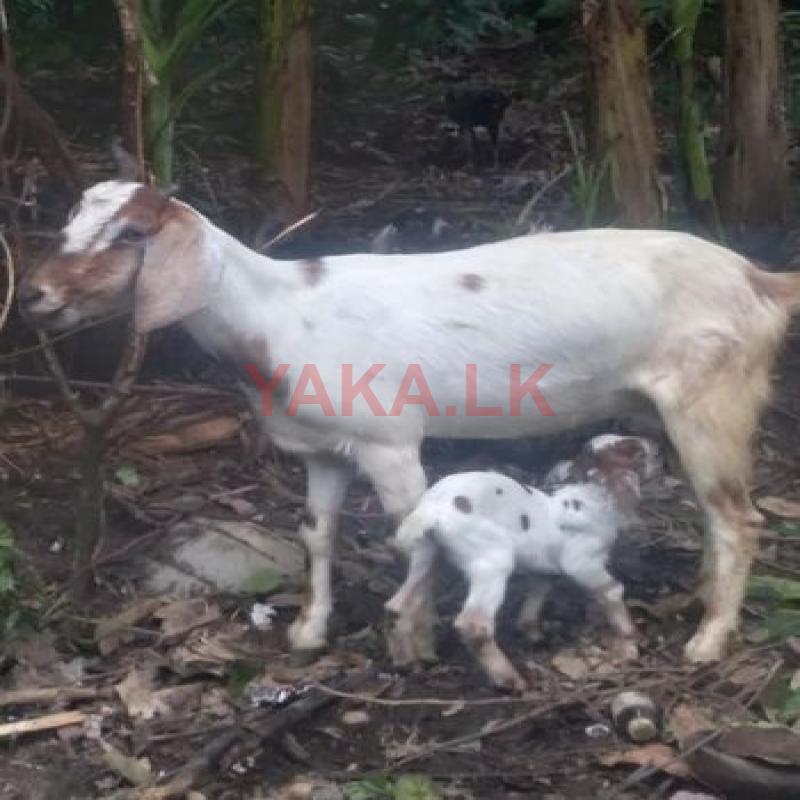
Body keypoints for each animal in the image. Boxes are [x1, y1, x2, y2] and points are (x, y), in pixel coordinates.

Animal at [18, 178, 800, 666]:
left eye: (131, 232)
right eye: (69, 224)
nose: (33, 295)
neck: (277, 313)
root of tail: (760, 279)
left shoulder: (389, 440)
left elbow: (410, 534)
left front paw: (415, 639)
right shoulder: (323, 449)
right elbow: (317, 533)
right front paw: (309, 631)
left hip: (713, 396)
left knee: (740, 518)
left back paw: (709, 641)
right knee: (716, 512)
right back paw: (700, 601)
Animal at [385, 435, 659, 692]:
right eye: (634, 451)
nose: (657, 450)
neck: (588, 498)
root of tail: (432, 511)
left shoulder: (544, 568)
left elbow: (536, 594)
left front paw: (532, 633)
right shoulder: (582, 562)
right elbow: (612, 590)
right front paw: (632, 636)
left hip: (426, 554)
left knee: (399, 605)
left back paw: (407, 662)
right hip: (492, 560)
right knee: (473, 624)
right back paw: (510, 679)